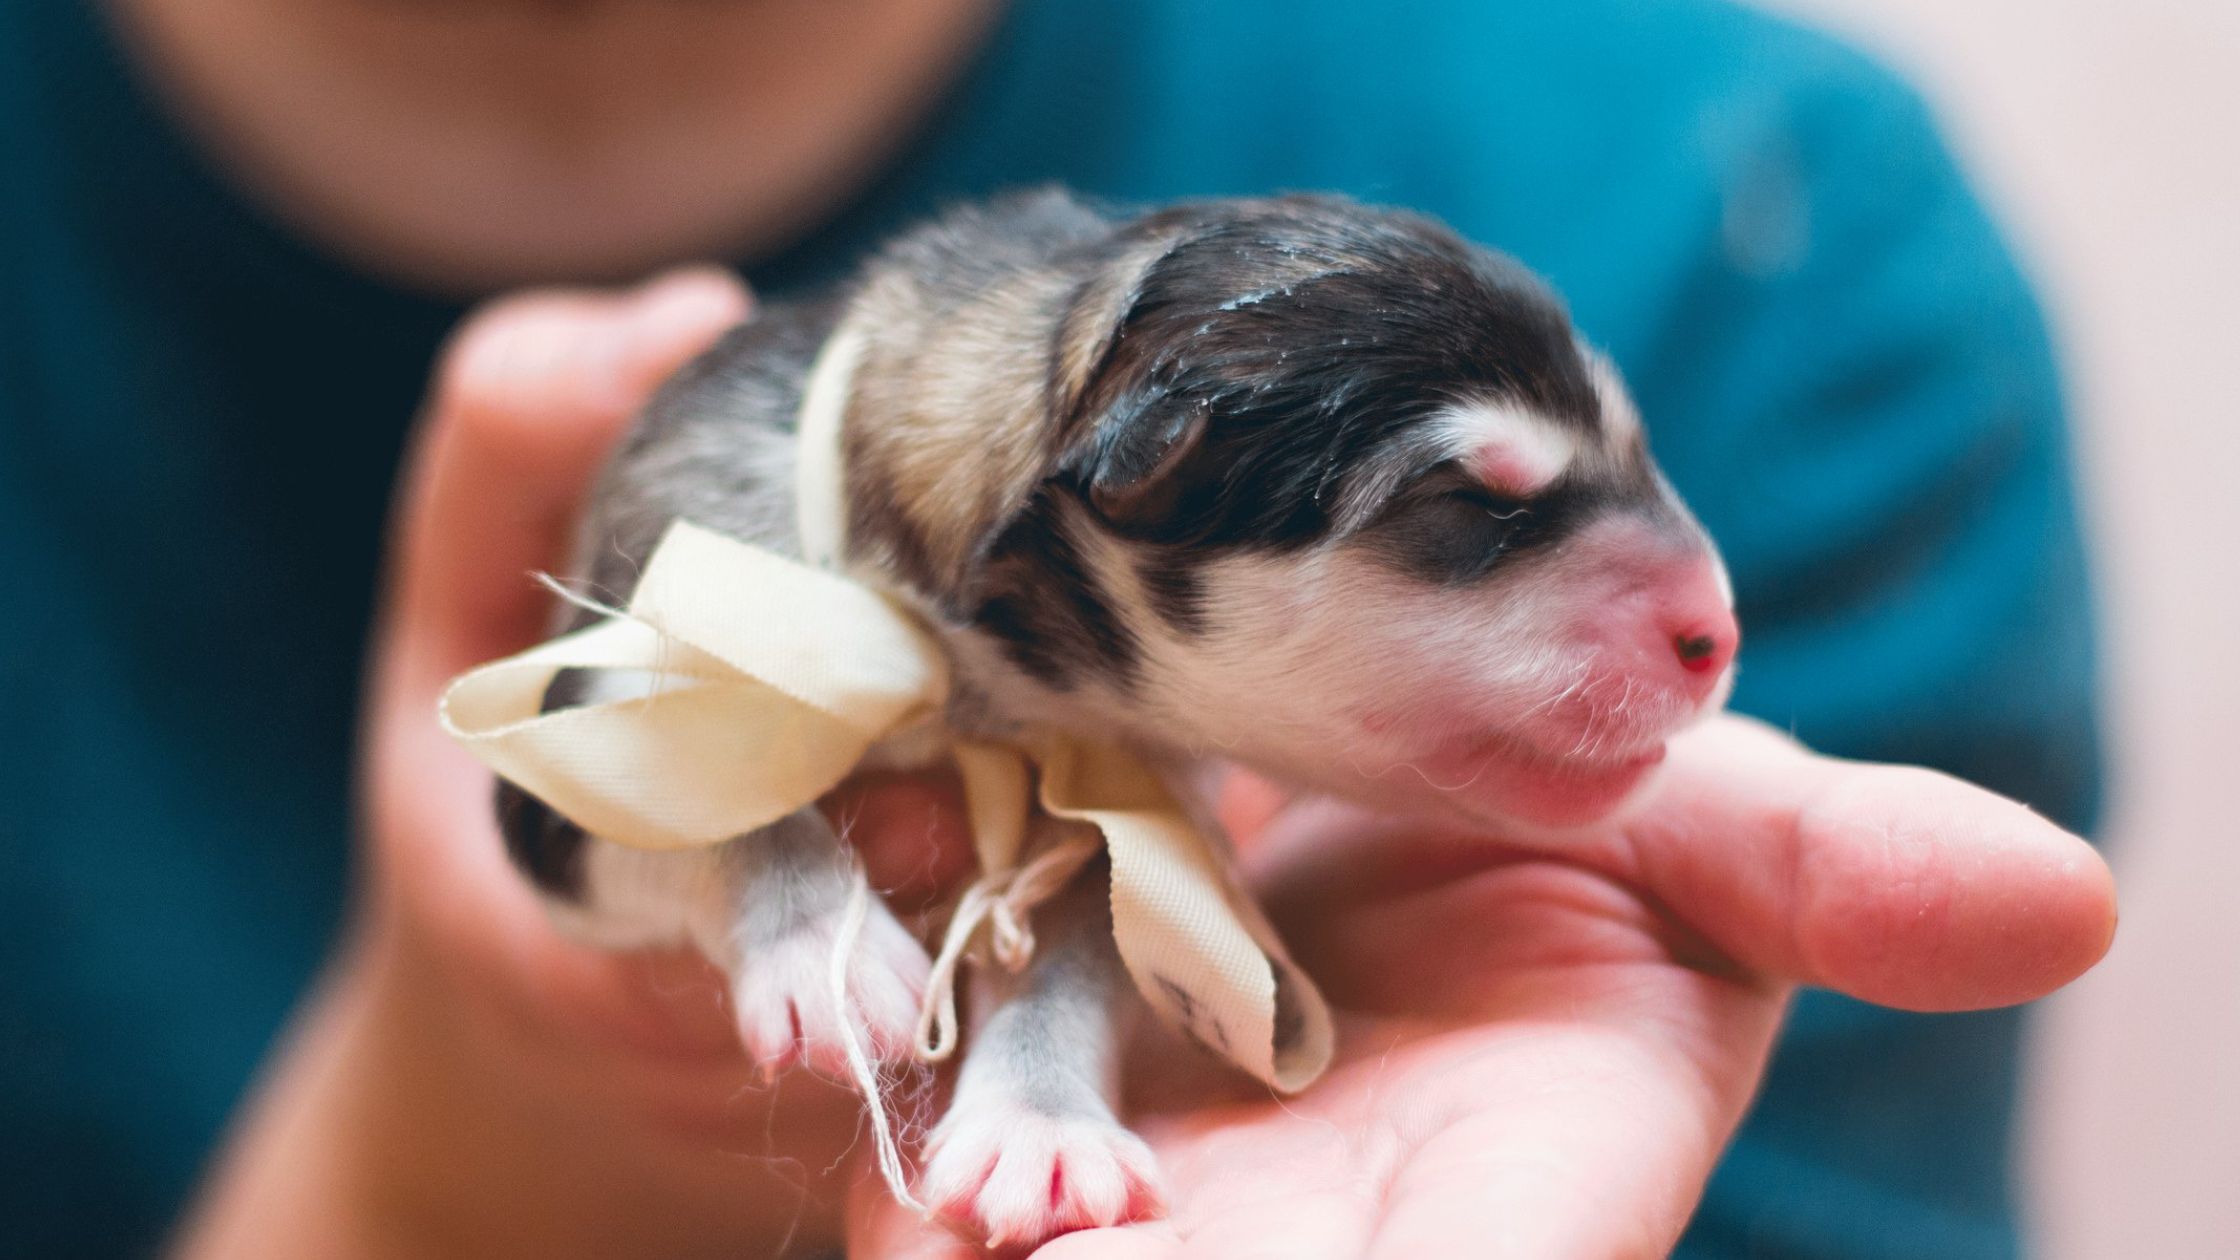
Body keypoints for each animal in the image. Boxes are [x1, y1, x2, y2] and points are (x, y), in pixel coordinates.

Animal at [499, 191, 1738, 1237]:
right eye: (1469, 502)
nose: (1717, 630)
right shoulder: (579, 725)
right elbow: (711, 794)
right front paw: (822, 948)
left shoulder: (1117, 799)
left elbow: (1075, 955)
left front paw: (1038, 1128)